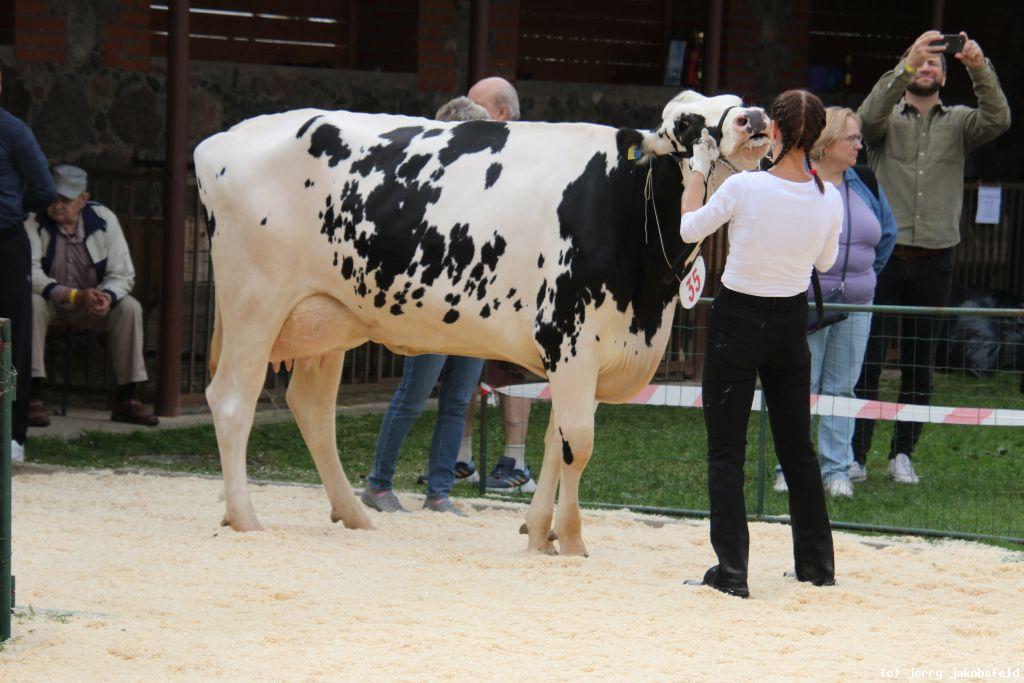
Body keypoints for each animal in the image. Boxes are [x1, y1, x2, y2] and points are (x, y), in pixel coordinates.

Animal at [195, 91, 770, 555]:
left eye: (738, 100)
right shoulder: (570, 339)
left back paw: (353, 514)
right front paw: (572, 540)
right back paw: (244, 518)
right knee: (232, 401)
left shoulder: (589, 357)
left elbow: (554, 440)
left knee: (312, 408)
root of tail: (219, 142)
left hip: (327, 318)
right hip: (254, 302)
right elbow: (578, 444)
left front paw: (539, 533)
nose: (756, 118)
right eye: (687, 123)